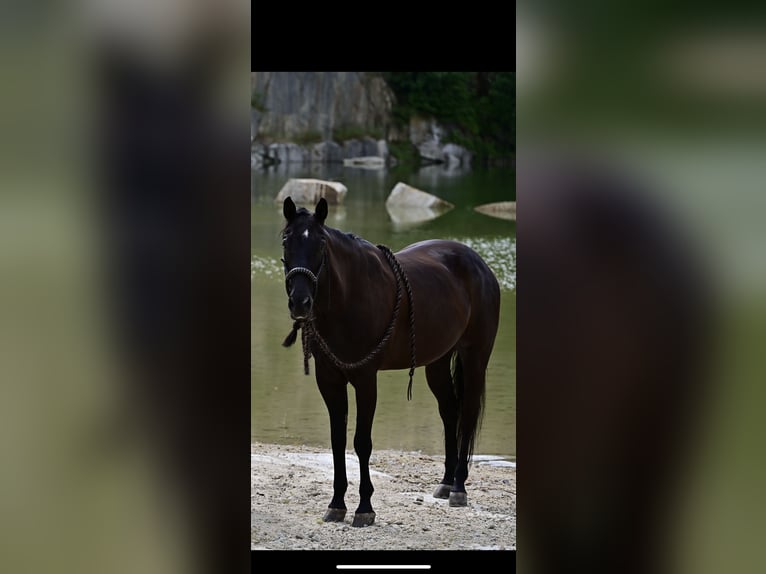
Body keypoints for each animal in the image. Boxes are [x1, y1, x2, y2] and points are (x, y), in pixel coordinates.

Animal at [282, 199, 504, 532]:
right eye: (286, 240)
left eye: (320, 243)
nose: (300, 302)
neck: (350, 295)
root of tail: (480, 264)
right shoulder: (330, 379)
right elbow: (337, 441)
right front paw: (336, 505)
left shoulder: (365, 379)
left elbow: (361, 442)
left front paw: (364, 508)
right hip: (438, 363)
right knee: (450, 412)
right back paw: (446, 482)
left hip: (475, 356)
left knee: (466, 414)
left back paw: (459, 487)